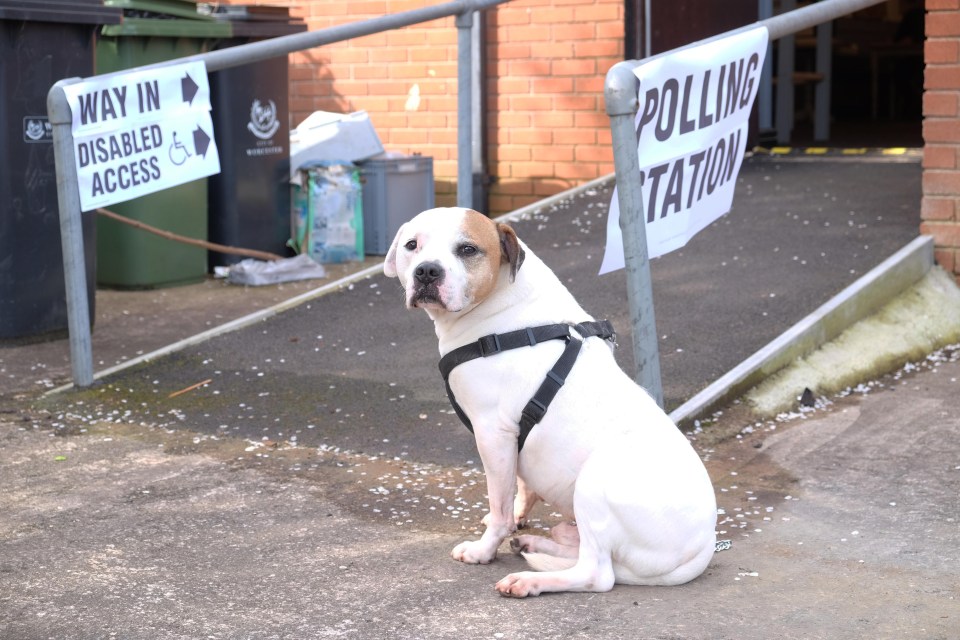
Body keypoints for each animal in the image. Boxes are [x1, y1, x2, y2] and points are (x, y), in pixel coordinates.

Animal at [382, 208, 712, 596]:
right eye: (412, 245)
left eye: (467, 249)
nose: (427, 271)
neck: (504, 309)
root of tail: (704, 547)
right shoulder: (517, 439)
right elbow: (520, 488)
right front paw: (517, 520)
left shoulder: (493, 434)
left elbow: (499, 504)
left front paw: (484, 549)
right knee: (582, 549)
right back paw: (536, 543)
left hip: (594, 481)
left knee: (598, 572)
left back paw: (530, 579)